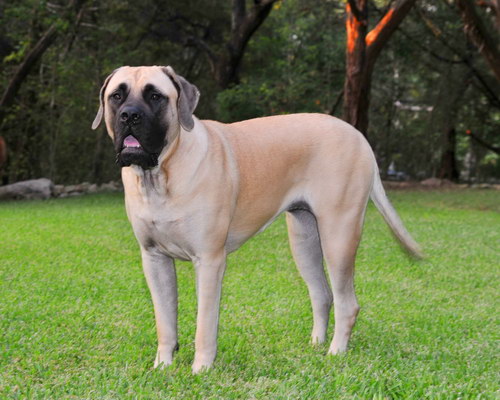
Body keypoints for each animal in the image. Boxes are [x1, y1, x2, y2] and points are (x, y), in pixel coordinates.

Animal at [91, 65, 422, 372]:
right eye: (116, 96)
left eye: (155, 96)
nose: (130, 116)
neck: (161, 175)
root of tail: (358, 135)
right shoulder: (154, 259)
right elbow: (165, 320)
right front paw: (163, 365)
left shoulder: (209, 260)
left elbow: (204, 323)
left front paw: (201, 369)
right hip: (304, 240)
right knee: (322, 294)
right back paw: (316, 345)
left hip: (339, 236)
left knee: (347, 303)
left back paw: (335, 352)